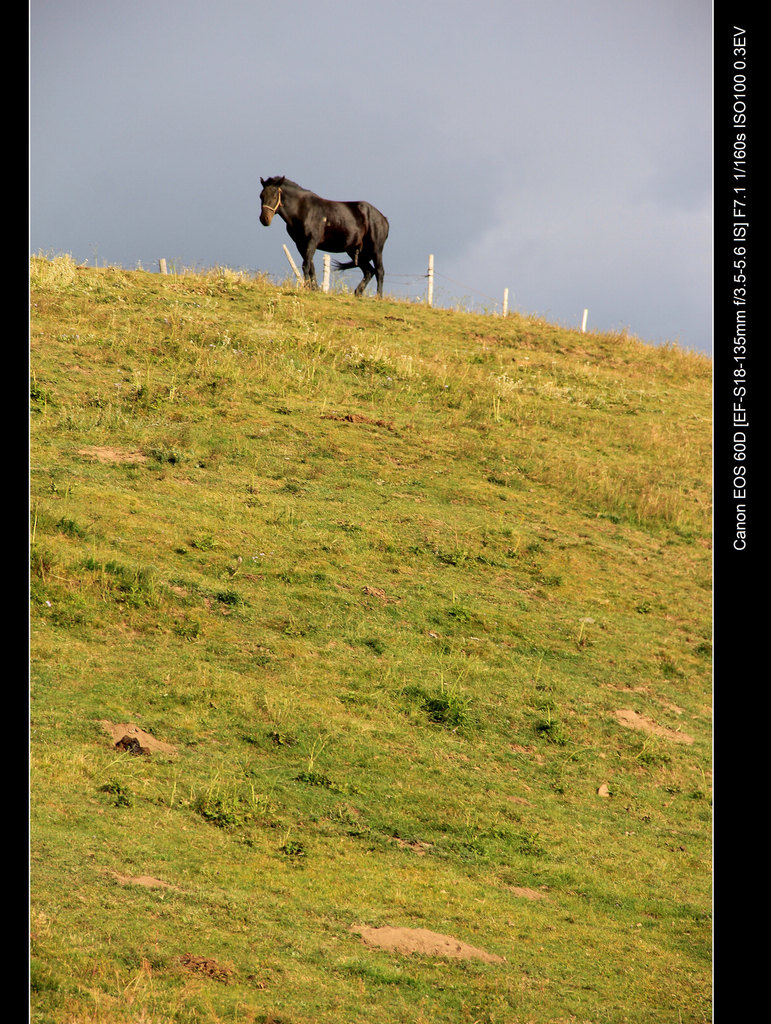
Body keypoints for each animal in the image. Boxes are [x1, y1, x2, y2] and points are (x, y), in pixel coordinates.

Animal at [260, 175, 391, 296]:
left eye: (274, 196)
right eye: (261, 196)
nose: (264, 219)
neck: (303, 210)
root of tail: (383, 219)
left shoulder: (311, 241)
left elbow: (306, 265)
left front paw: (306, 287)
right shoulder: (301, 244)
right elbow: (310, 266)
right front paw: (314, 288)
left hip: (376, 249)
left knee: (379, 271)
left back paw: (378, 296)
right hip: (355, 251)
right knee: (369, 271)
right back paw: (357, 293)